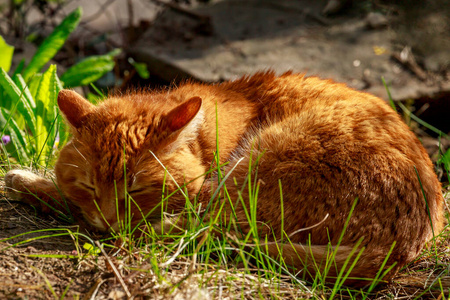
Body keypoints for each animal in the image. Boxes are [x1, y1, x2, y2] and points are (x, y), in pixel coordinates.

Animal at [5, 70, 444, 286]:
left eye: (139, 188)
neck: (206, 139)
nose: (110, 221)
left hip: (260, 168)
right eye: (89, 185)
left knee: (200, 230)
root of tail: (402, 245)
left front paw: (28, 181)